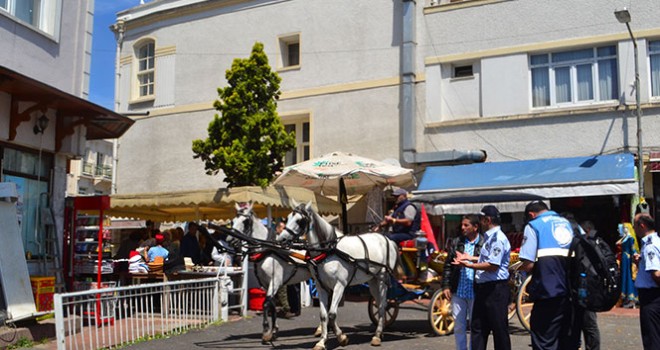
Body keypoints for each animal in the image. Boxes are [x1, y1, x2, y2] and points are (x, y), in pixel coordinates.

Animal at [231, 204, 316, 344]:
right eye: (232, 221)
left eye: (245, 221)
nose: (230, 240)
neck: (268, 251)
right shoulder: (266, 284)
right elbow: (272, 304)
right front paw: (274, 331)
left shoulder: (275, 282)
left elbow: (266, 304)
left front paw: (266, 332)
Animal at [278, 201, 400, 348]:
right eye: (288, 217)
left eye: (299, 221)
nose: (281, 239)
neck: (328, 250)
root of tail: (387, 239)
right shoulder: (320, 285)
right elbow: (323, 315)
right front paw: (322, 341)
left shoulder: (339, 285)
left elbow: (332, 314)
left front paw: (341, 337)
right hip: (372, 280)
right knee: (379, 303)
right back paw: (380, 332)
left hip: (382, 278)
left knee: (382, 305)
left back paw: (377, 336)